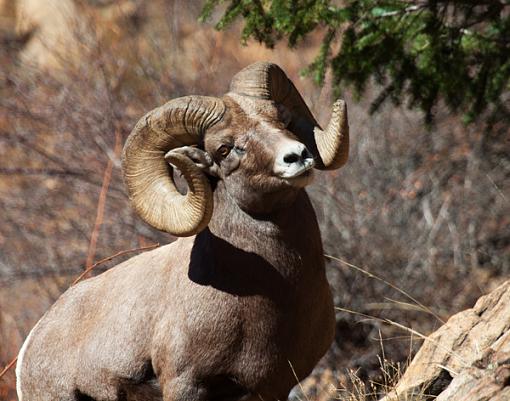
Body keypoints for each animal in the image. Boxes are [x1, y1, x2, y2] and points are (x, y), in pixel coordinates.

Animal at [16, 61, 350, 400]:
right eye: (224, 149)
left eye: (281, 119)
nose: (297, 156)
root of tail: (31, 343)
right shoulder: (186, 384)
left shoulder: (274, 388)